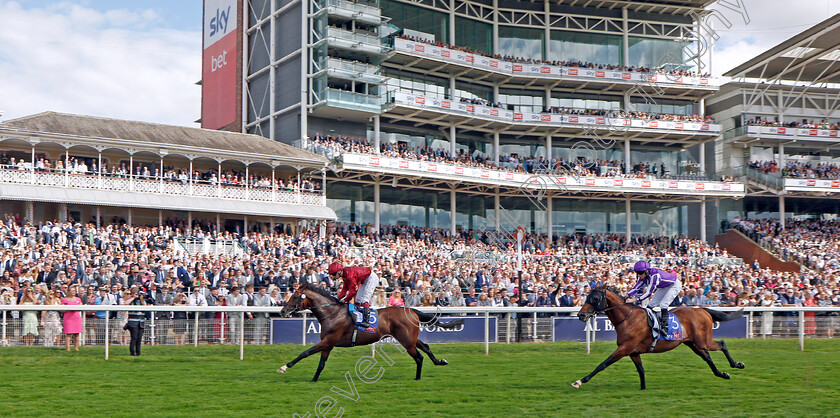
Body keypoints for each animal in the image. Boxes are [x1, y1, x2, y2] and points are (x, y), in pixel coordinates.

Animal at [278, 284, 462, 382]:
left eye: (295, 297)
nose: (282, 311)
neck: (332, 313)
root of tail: (412, 310)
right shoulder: (328, 344)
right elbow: (321, 364)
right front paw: (314, 379)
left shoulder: (328, 341)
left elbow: (305, 352)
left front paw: (284, 367)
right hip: (411, 338)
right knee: (426, 347)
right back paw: (439, 362)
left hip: (406, 341)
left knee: (419, 356)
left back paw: (417, 378)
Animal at [572, 286, 740, 390]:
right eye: (587, 297)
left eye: (595, 298)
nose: (581, 315)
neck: (628, 318)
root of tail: (702, 310)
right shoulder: (633, 352)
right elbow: (641, 370)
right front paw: (643, 388)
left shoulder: (624, 348)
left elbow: (603, 364)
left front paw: (580, 381)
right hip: (692, 343)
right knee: (707, 357)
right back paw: (723, 374)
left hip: (702, 340)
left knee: (722, 344)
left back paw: (737, 364)